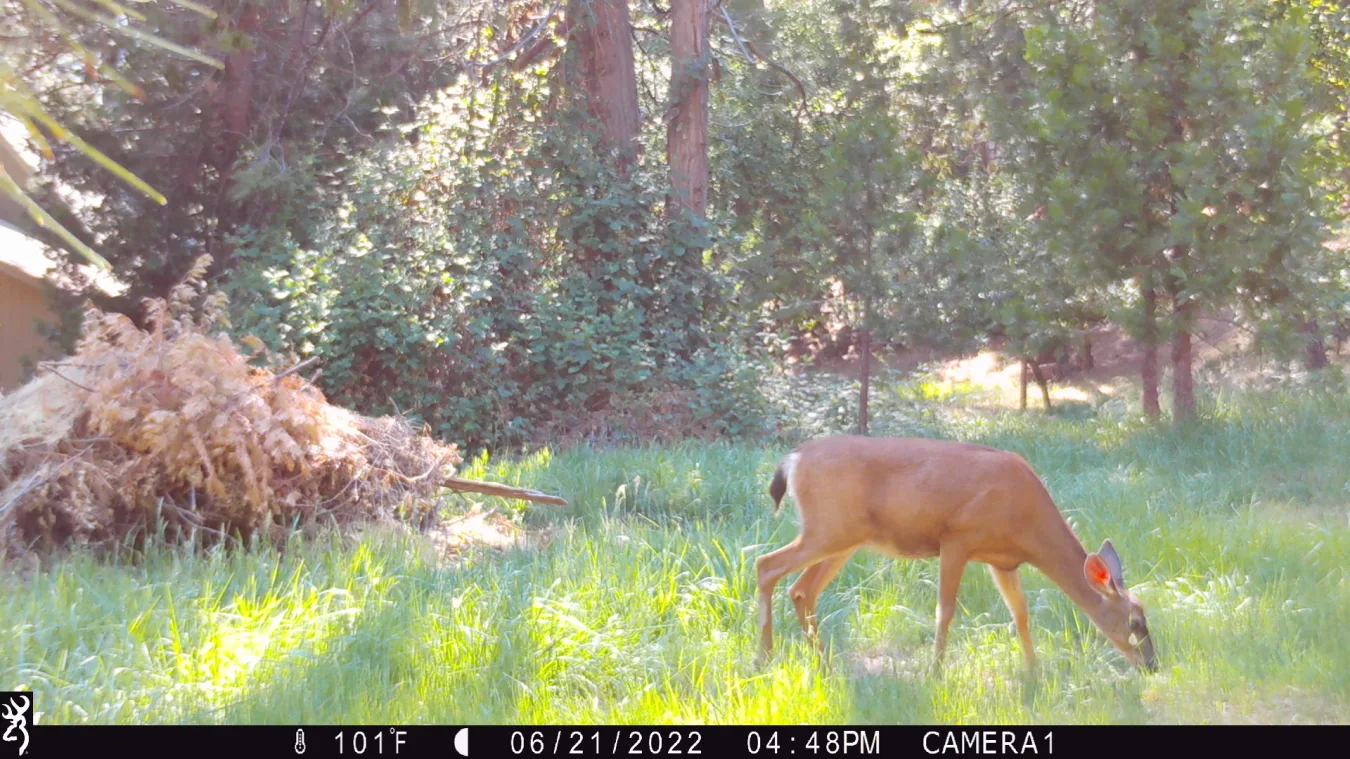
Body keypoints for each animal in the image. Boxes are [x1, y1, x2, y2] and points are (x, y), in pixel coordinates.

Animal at [761, 434, 1161, 669]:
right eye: (1134, 622)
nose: (1152, 665)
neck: (1026, 521)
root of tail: (793, 459)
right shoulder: (957, 538)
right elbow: (946, 611)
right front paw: (935, 671)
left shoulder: (1004, 561)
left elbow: (1020, 613)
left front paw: (1033, 670)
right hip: (827, 528)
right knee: (767, 565)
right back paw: (764, 657)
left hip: (843, 537)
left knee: (801, 589)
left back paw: (824, 662)